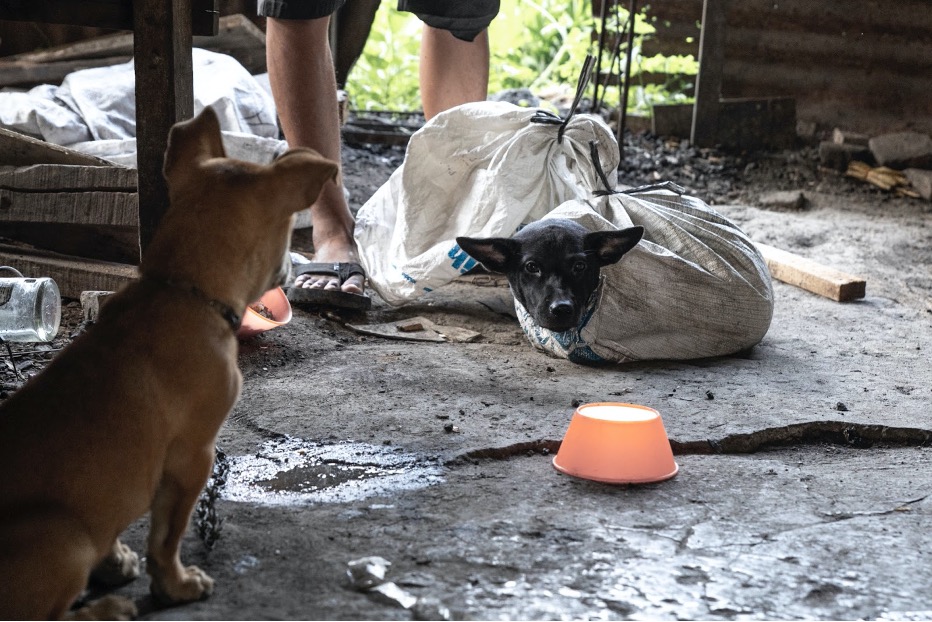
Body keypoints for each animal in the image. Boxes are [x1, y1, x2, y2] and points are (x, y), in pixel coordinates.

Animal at [0, 107, 338, 620]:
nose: (291, 272)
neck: (178, 288)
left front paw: (116, 559)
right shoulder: (192, 456)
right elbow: (166, 538)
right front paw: (176, 586)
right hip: (63, 539)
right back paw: (107, 609)